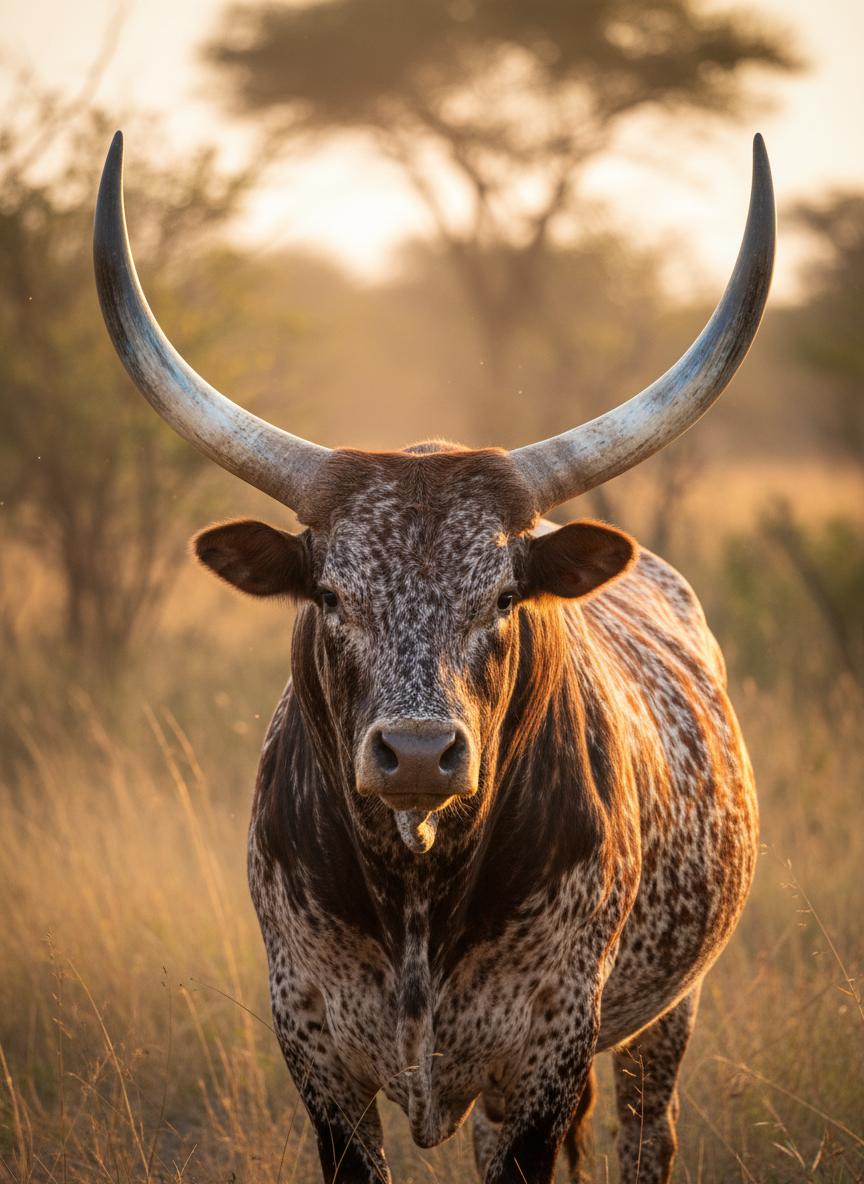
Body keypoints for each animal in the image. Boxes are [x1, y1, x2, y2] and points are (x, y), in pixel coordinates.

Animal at [94, 131, 774, 1184]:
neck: (418, 891)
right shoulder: (319, 1061)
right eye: (331, 595)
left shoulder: (544, 1062)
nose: (417, 755)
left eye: (502, 598)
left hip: (667, 1014)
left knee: (647, 1134)